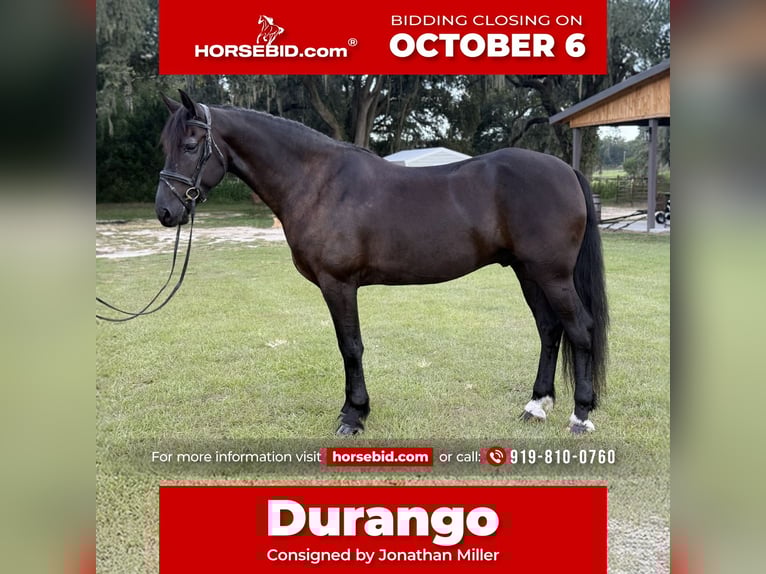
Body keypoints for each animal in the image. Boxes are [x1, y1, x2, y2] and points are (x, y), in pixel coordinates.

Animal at [156, 90, 609, 435]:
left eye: (191, 145)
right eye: (166, 145)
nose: (165, 212)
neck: (317, 182)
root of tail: (566, 170)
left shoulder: (338, 284)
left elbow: (350, 346)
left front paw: (353, 415)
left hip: (552, 275)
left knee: (580, 330)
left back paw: (580, 416)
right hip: (527, 272)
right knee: (550, 330)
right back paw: (536, 406)